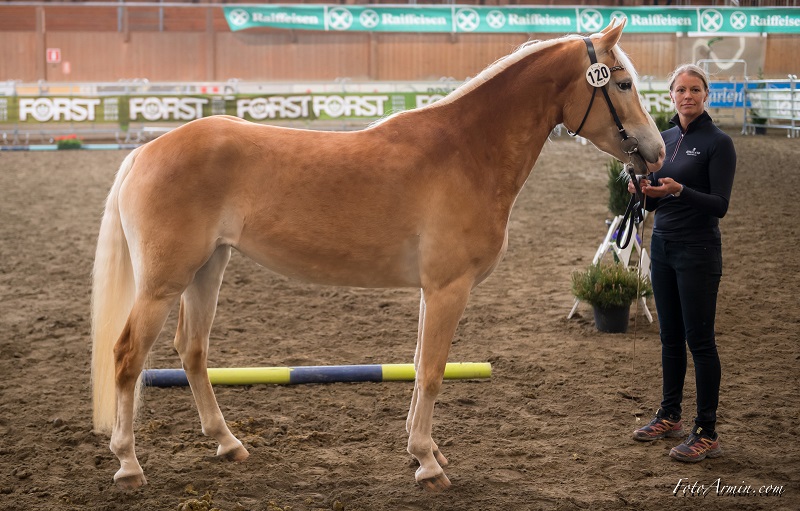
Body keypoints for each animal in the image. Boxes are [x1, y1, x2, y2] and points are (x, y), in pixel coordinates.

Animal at [91, 20, 665, 492]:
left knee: (192, 351)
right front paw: (427, 464)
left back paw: (228, 443)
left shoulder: (431, 292)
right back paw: (128, 463)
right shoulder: (448, 289)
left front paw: (424, 449)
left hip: (206, 271)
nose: (656, 152)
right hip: (162, 283)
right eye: (622, 83)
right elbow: (431, 371)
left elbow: (418, 363)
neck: (466, 151)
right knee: (127, 356)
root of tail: (146, 151)